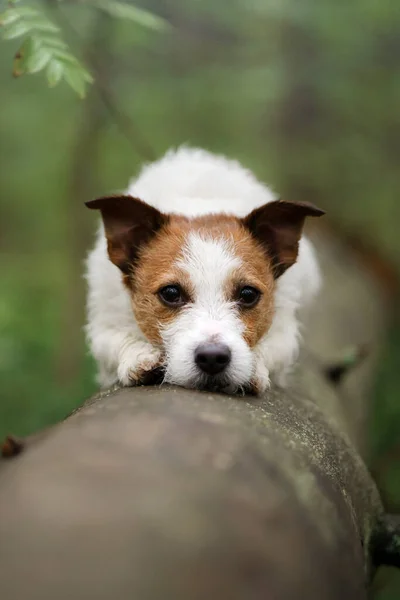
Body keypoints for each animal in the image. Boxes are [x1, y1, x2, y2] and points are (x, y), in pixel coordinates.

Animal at [85, 146, 324, 394]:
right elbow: (115, 340)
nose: (212, 358)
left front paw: (254, 368)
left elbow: (275, 348)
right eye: (171, 293)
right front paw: (139, 355)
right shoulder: (105, 322)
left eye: (248, 294)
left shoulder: (284, 330)